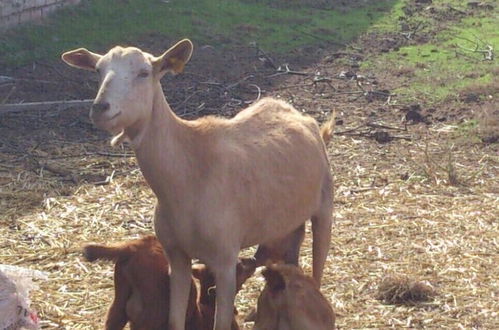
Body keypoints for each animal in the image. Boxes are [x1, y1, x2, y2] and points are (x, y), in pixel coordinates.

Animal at [62, 39, 336, 330]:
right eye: (98, 70)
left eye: (144, 73)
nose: (101, 108)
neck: (187, 178)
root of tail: (299, 114)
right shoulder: (175, 254)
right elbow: (174, 320)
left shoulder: (226, 258)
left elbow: (222, 322)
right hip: (286, 220)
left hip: (325, 204)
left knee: (318, 269)